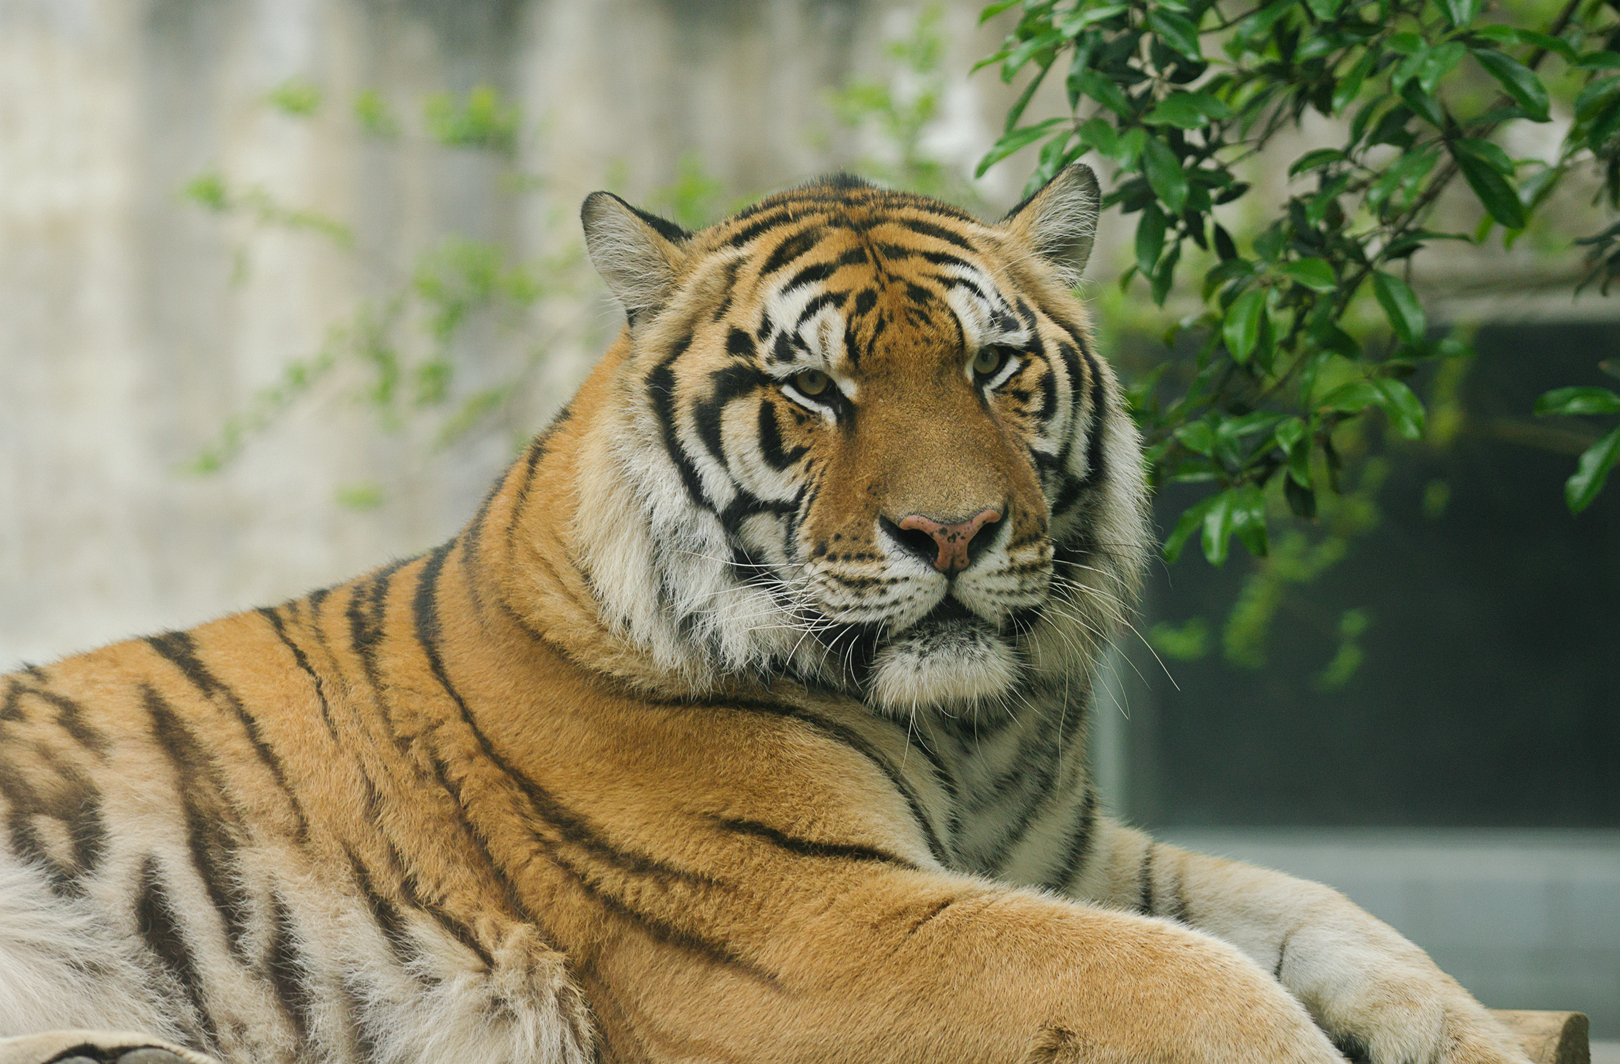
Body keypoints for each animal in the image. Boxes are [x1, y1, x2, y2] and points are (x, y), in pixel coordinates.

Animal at [0, 164, 1535, 1064]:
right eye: (815, 389)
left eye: (994, 368)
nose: (954, 532)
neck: (971, 734)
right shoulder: (816, 921)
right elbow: (1192, 980)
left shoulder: (1063, 858)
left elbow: (1310, 910)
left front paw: (1460, 1032)